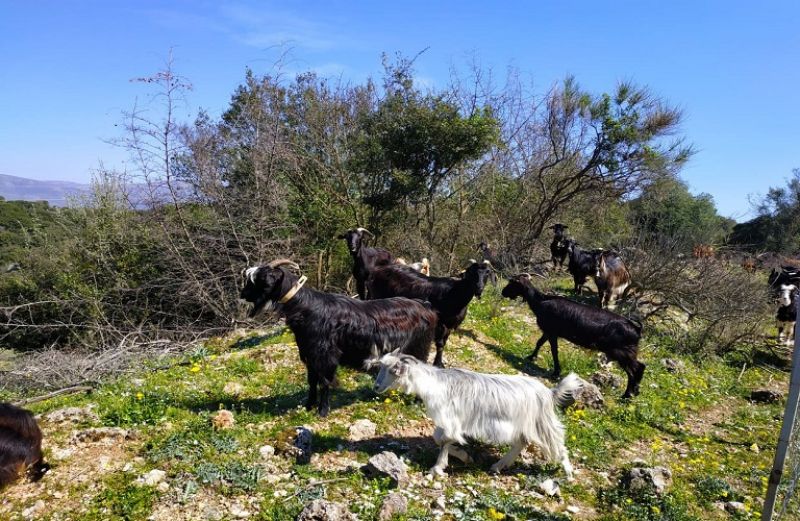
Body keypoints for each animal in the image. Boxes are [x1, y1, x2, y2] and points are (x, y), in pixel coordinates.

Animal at [241, 258, 438, 414]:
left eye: (258, 280)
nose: (243, 295)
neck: (306, 307)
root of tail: (425, 306)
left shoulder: (326, 355)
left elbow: (324, 382)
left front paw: (322, 411)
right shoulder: (310, 354)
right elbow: (312, 381)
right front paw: (308, 406)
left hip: (420, 347)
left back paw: (417, 401)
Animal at [372, 352, 580, 478]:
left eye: (392, 371)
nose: (376, 387)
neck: (436, 385)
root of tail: (550, 393)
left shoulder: (453, 420)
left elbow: (445, 440)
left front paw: (438, 467)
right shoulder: (447, 421)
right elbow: (438, 438)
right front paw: (464, 456)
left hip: (542, 424)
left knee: (558, 445)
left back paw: (569, 474)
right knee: (522, 442)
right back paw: (497, 466)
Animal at [500, 272, 644, 398]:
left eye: (512, 283)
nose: (503, 292)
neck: (540, 301)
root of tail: (636, 329)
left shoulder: (552, 332)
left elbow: (554, 351)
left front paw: (556, 372)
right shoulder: (548, 331)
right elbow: (539, 343)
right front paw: (531, 357)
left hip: (621, 351)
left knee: (635, 370)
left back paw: (626, 395)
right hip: (626, 352)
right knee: (640, 367)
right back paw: (634, 392)